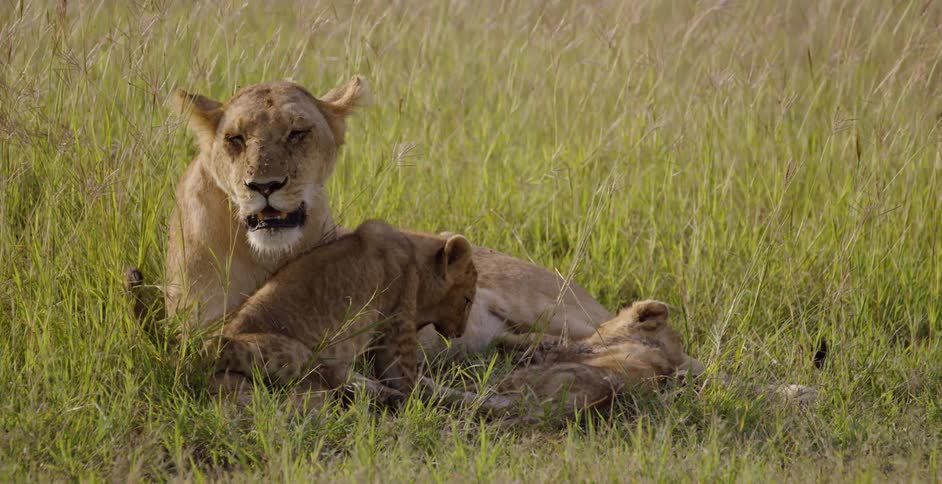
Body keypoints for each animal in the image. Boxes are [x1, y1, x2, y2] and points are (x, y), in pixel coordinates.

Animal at [151, 75, 612, 352]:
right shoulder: (195, 329)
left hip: (555, 308)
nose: (264, 186)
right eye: (236, 139)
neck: (262, 252)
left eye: (297, 133)